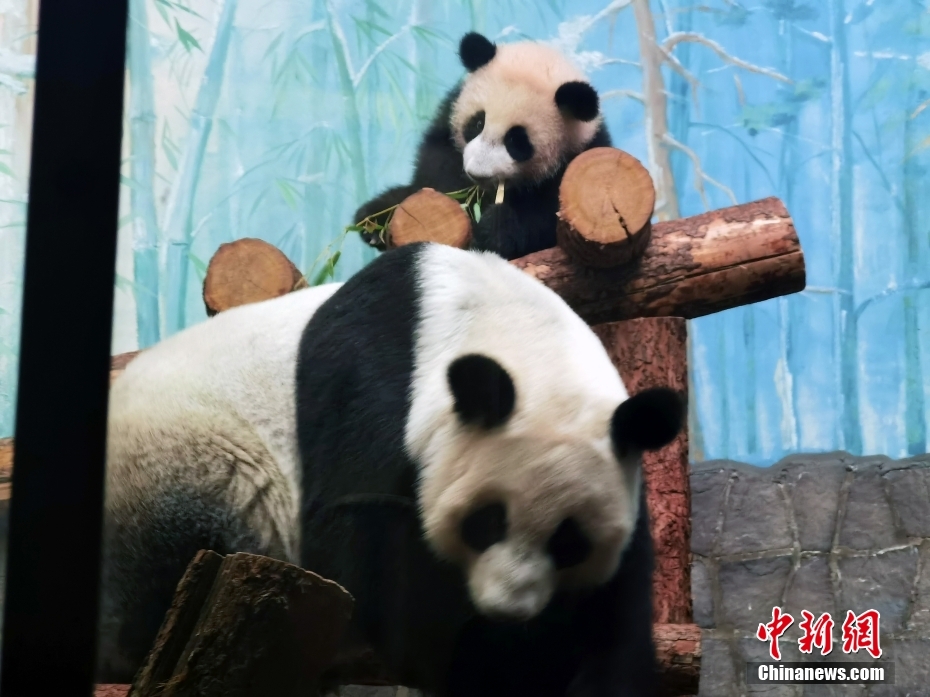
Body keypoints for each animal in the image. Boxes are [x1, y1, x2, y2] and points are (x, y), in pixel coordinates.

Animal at [96, 242, 684, 697]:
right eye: (486, 522)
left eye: (569, 541)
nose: (509, 610)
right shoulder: (370, 392)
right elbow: (372, 552)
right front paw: (487, 663)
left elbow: (618, 608)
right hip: (185, 457)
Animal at [353, 32, 612, 261]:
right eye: (478, 123)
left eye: (517, 142)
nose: (476, 174)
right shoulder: (449, 116)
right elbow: (436, 165)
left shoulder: (580, 157)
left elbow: (546, 220)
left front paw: (494, 228)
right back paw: (373, 221)